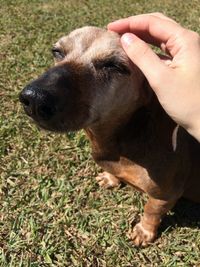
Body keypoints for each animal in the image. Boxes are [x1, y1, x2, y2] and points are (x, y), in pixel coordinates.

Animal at [19, 27, 200, 247]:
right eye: (57, 52)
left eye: (113, 65)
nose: (34, 98)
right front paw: (110, 177)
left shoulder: (166, 194)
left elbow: (151, 211)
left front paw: (144, 231)